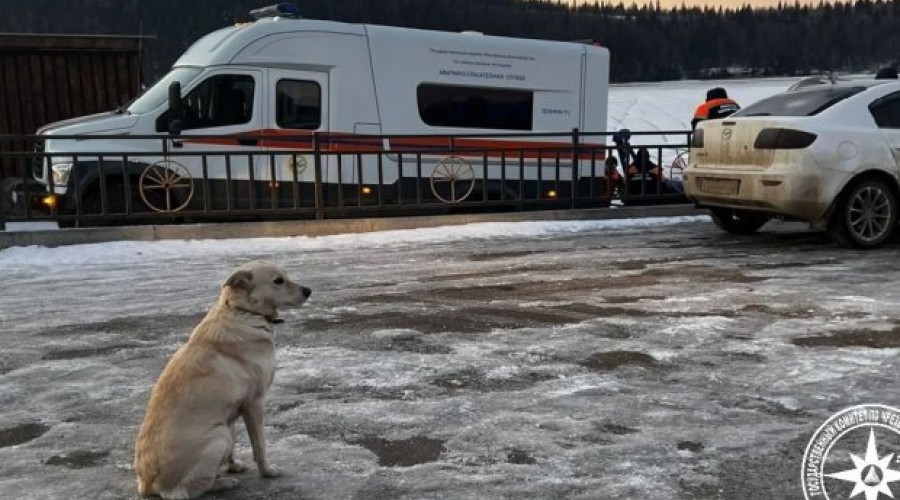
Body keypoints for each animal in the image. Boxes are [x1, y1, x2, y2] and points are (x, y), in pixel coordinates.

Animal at [134, 262, 312, 500]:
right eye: (278, 281)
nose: (308, 291)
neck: (244, 312)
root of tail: (147, 485)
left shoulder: (232, 410)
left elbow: (237, 445)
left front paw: (233, 465)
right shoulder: (254, 403)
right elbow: (260, 445)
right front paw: (266, 471)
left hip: (223, 430)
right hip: (219, 437)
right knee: (188, 490)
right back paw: (224, 483)